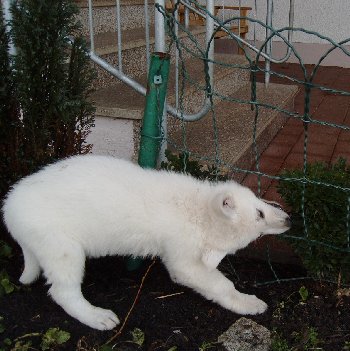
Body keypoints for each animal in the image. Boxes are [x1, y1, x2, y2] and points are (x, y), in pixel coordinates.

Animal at [1, 155, 290, 332]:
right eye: (259, 214)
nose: (288, 220)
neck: (197, 209)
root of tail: (9, 208)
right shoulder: (183, 260)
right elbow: (221, 284)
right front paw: (249, 303)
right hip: (62, 249)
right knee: (64, 292)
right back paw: (97, 316)